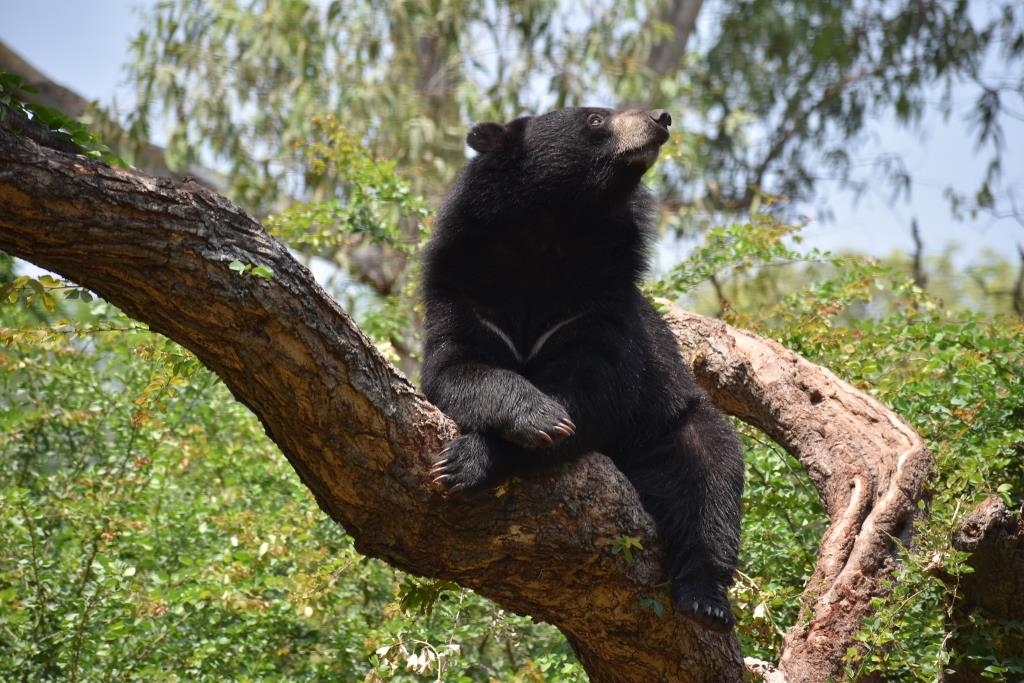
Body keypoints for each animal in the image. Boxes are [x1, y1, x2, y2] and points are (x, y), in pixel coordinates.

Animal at [415, 108, 745, 634]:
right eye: (595, 119)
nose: (661, 118)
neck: (555, 227)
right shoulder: (464, 291)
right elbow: (458, 370)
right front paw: (533, 420)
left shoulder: (597, 304)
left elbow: (596, 397)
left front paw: (471, 458)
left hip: (672, 428)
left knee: (712, 480)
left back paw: (707, 602)